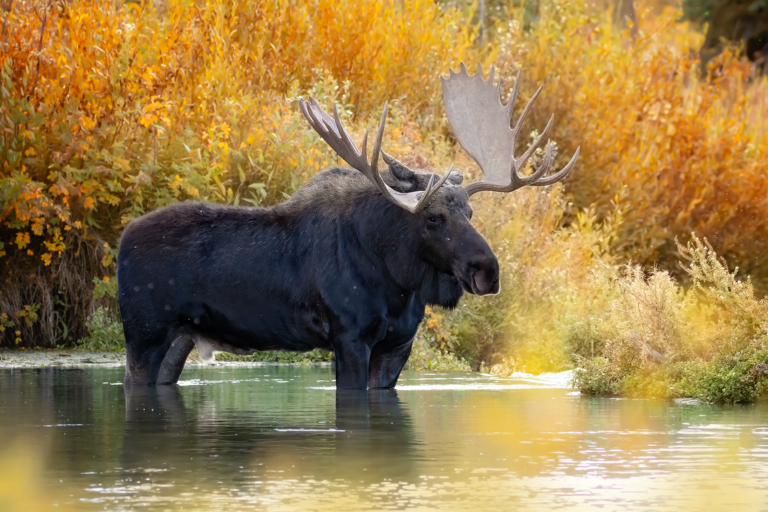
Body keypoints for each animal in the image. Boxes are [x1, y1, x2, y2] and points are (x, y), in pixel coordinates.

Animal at [117, 63, 579, 389]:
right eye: (433, 217)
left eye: (470, 213)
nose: (487, 271)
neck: (397, 282)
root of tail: (121, 240)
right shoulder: (349, 336)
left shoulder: (398, 345)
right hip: (144, 335)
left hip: (179, 339)